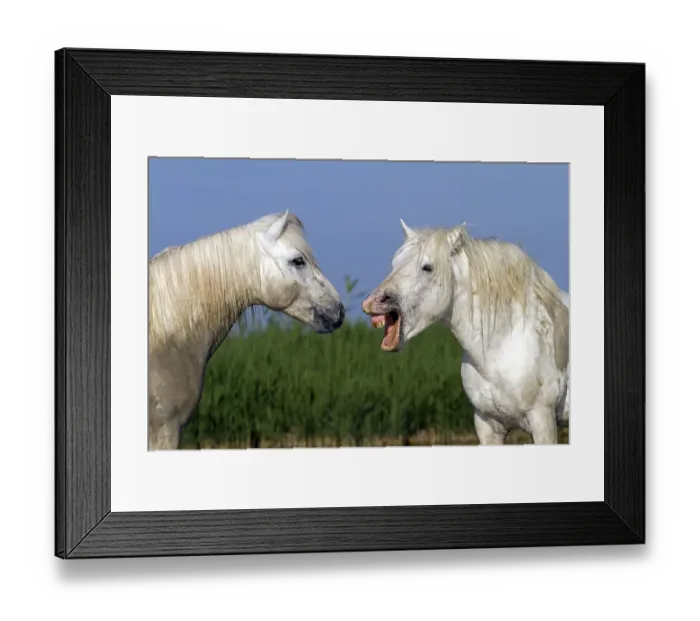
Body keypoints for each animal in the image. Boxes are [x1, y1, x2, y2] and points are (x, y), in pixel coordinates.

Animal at [361, 219, 569, 445]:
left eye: (427, 268)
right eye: (394, 263)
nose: (372, 302)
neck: (503, 345)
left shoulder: (543, 421)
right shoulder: (487, 426)